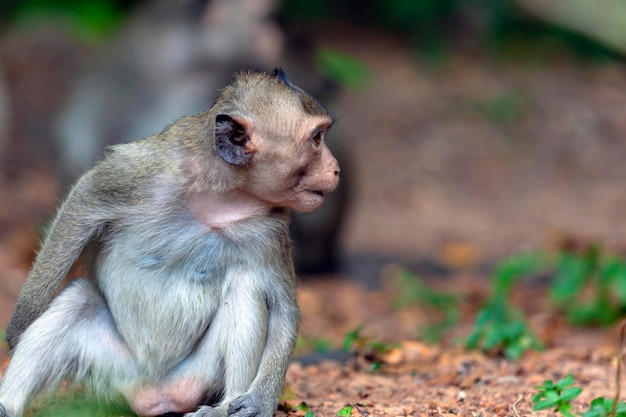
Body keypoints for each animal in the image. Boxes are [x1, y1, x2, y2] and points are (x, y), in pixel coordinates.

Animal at [0, 69, 336, 416]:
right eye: (316, 139)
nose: (336, 169)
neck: (221, 190)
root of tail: (157, 393)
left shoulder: (270, 230)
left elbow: (284, 310)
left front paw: (259, 400)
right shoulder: (142, 174)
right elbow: (84, 199)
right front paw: (20, 325)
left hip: (196, 377)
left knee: (245, 285)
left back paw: (223, 406)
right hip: (115, 375)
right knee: (78, 301)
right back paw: (7, 405)